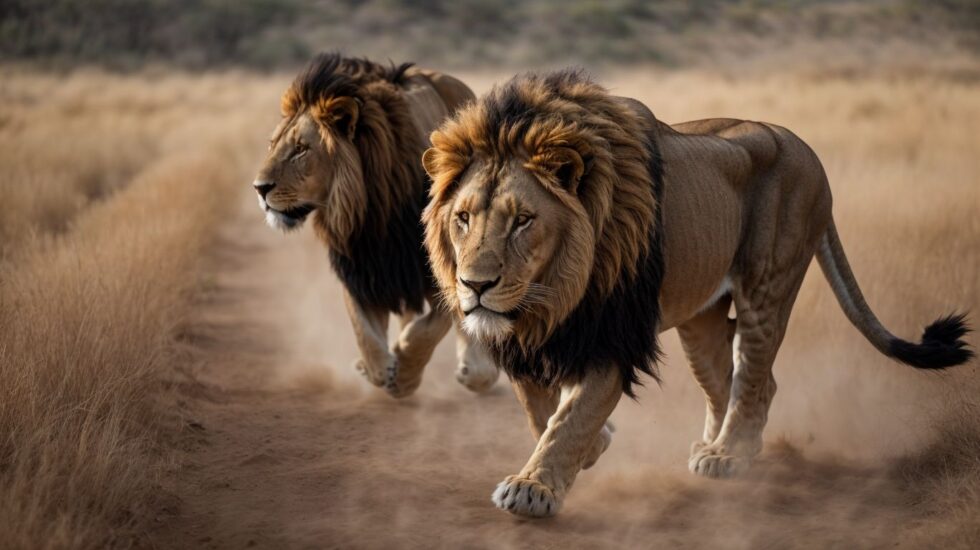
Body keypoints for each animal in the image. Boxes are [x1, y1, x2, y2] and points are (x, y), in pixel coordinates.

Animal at [252, 53, 498, 397]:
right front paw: (377, 368)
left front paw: (405, 373)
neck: (371, 214)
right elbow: (362, 328)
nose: (259, 188)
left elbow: (433, 325)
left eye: (301, 148)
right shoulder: (360, 268)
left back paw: (473, 368)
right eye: (272, 144)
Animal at [420, 69, 973, 517]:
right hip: (699, 322)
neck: (554, 294)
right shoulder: (525, 336)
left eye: (523, 221)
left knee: (753, 377)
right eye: (463, 217)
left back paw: (729, 454)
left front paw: (533, 488)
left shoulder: (616, 338)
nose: (475, 286)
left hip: (767, 285)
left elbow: (570, 418)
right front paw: (596, 445)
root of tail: (803, 144)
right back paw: (719, 446)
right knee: (737, 380)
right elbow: (538, 406)